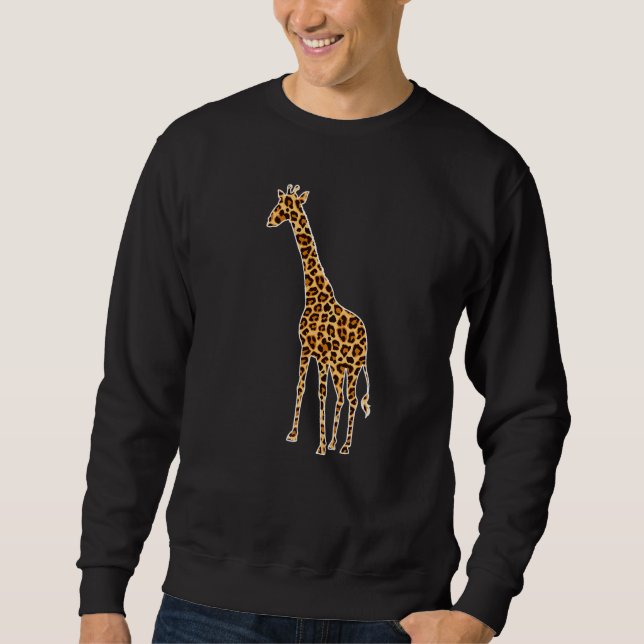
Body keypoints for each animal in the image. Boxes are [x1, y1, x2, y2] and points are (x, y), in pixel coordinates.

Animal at [266, 184, 371, 455]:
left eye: (284, 206)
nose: (270, 220)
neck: (314, 295)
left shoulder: (322, 356)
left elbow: (321, 394)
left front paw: (321, 445)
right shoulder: (306, 349)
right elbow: (301, 387)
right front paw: (294, 434)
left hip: (354, 367)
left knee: (353, 400)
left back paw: (344, 446)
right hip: (340, 367)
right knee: (343, 398)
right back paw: (336, 442)